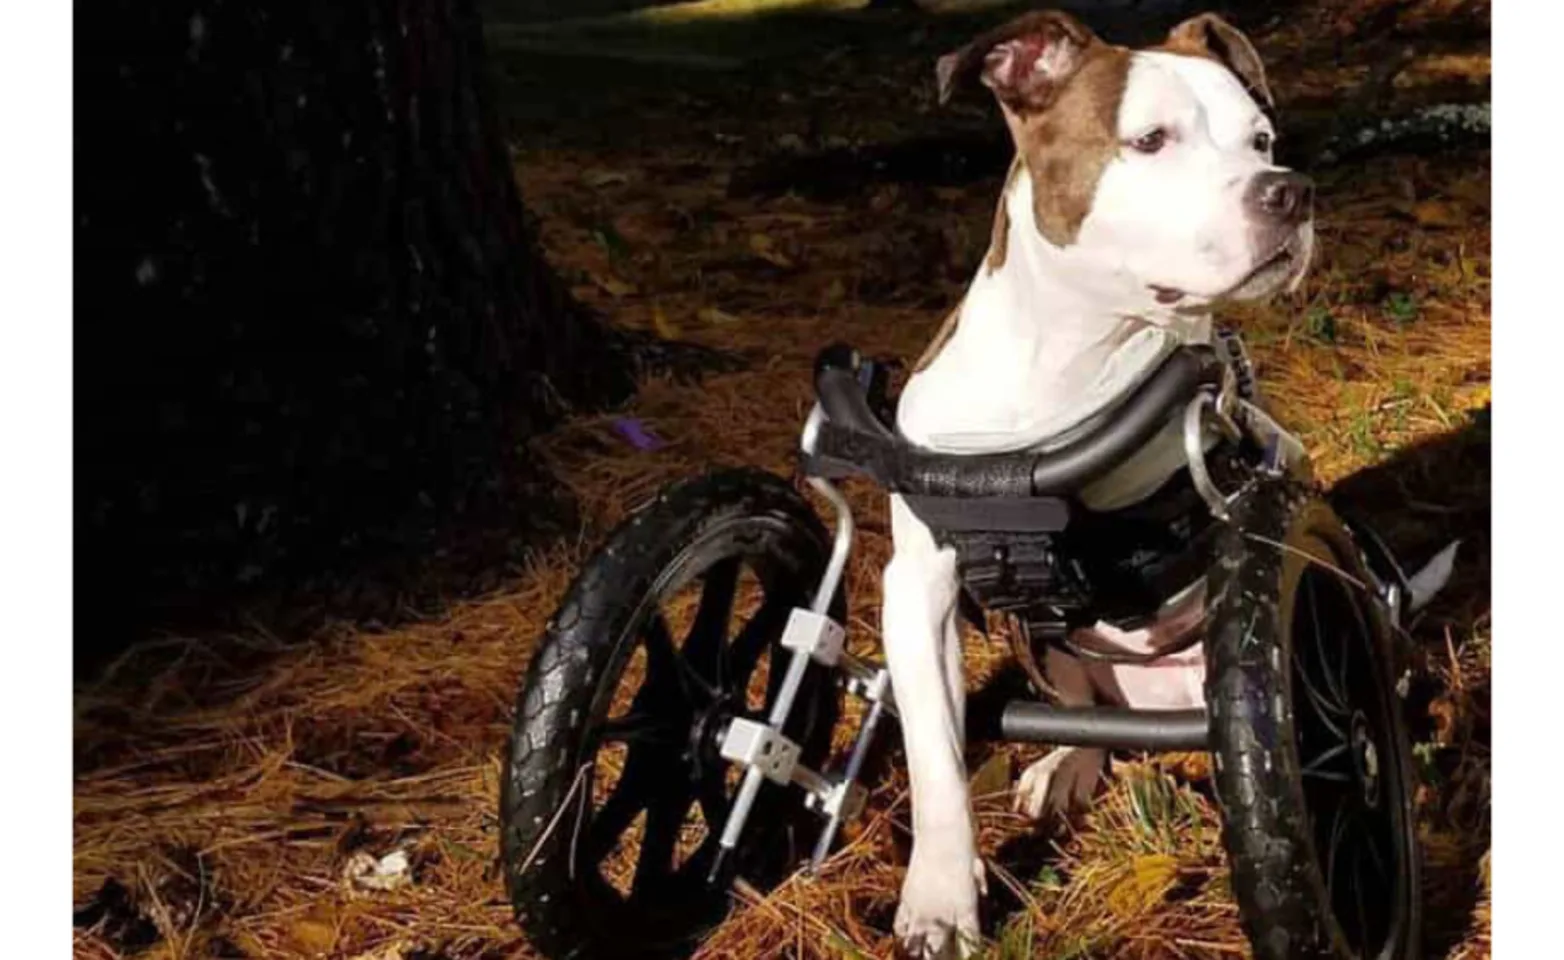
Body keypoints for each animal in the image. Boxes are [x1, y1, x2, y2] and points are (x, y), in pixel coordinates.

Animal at [882, 9, 1307, 960]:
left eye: (1261, 140)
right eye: (1150, 140)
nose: (1288, 190)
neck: (1070, 361)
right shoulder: (917, 582)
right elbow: (934, 755)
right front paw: (940, 899)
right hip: (1044, 652)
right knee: (1080, 717)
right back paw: (1067, 765)